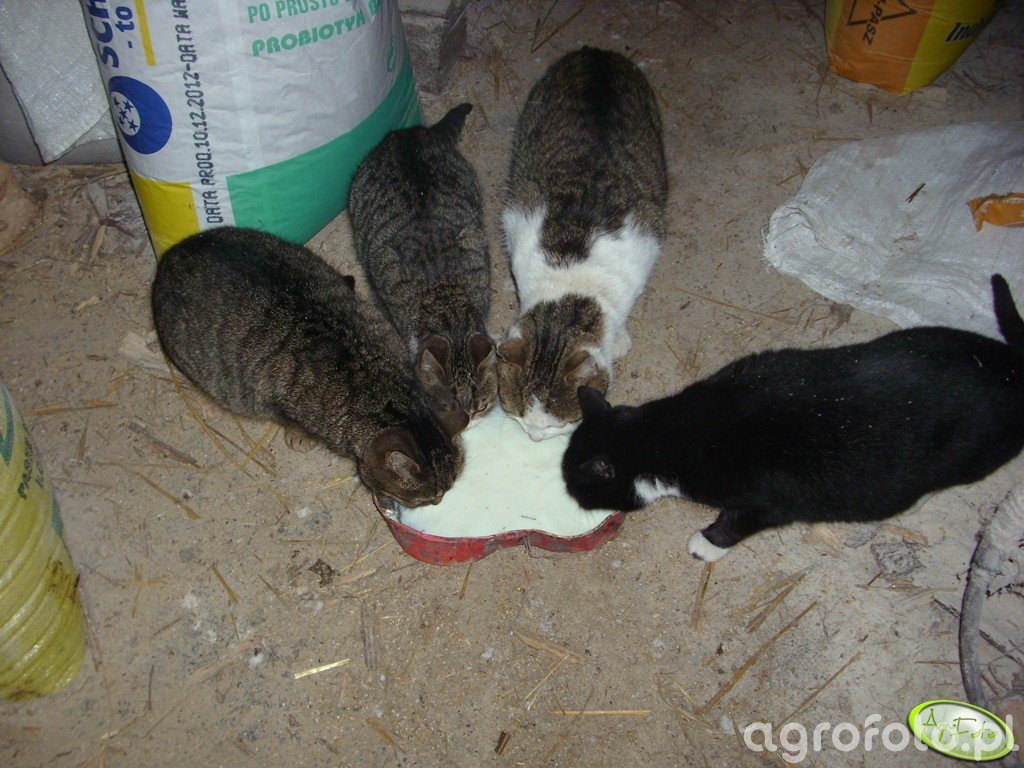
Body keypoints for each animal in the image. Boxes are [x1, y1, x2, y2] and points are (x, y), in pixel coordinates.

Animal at [151, 226, 466, 508]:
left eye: (447, 490)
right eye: (427, 498)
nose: (439, 502)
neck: (378, 382)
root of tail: (173, 253)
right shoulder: (276, 401)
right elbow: (290, 421)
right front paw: (299, 437)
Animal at [498, 47, 668, 442]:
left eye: (557, 424)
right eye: (519, 416)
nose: (534, 438)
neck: (571, 276)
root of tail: (597, 53)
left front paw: (618, 339)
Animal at [563, 274, 1024, 562]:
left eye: (576, 484)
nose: (570, 496)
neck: (664, 433)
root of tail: (1011, 365)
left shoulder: (766, 501)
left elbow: (734, 523)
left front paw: (707, 544)